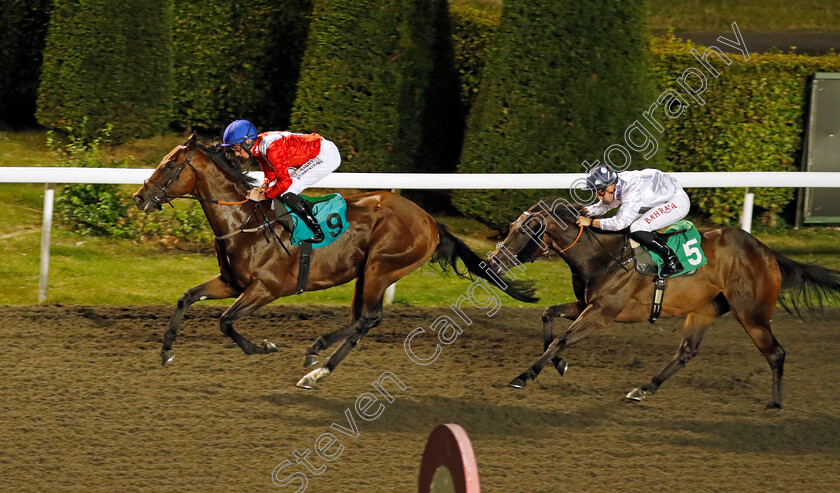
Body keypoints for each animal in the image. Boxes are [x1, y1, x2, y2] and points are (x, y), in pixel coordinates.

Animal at [131, 135, 540, 388]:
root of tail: (430, 222)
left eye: (170, 166)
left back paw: (316, 353)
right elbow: (186, 297)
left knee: (370, 318)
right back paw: (319, 370)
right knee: (363, 322)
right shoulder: (231, 283)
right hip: (366, 274)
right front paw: (166, 350)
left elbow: (226, 321)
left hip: (380, 267)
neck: (244, 222)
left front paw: (264, 347)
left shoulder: (266, 289)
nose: (139, 197)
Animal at [488, 198, 840, 410]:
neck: (602, 256)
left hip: (752, 314)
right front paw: (557, 364)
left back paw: (776, 404)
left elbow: (560, 339)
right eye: (512, 228)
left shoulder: (603, 313)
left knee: (775, 353)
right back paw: (644, 388)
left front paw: (525, 374)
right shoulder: (585, 303)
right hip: (704, 310)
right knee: (686, 352)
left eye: (525, 231)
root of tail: (767, 251)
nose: (491, 263)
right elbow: (548, 316)